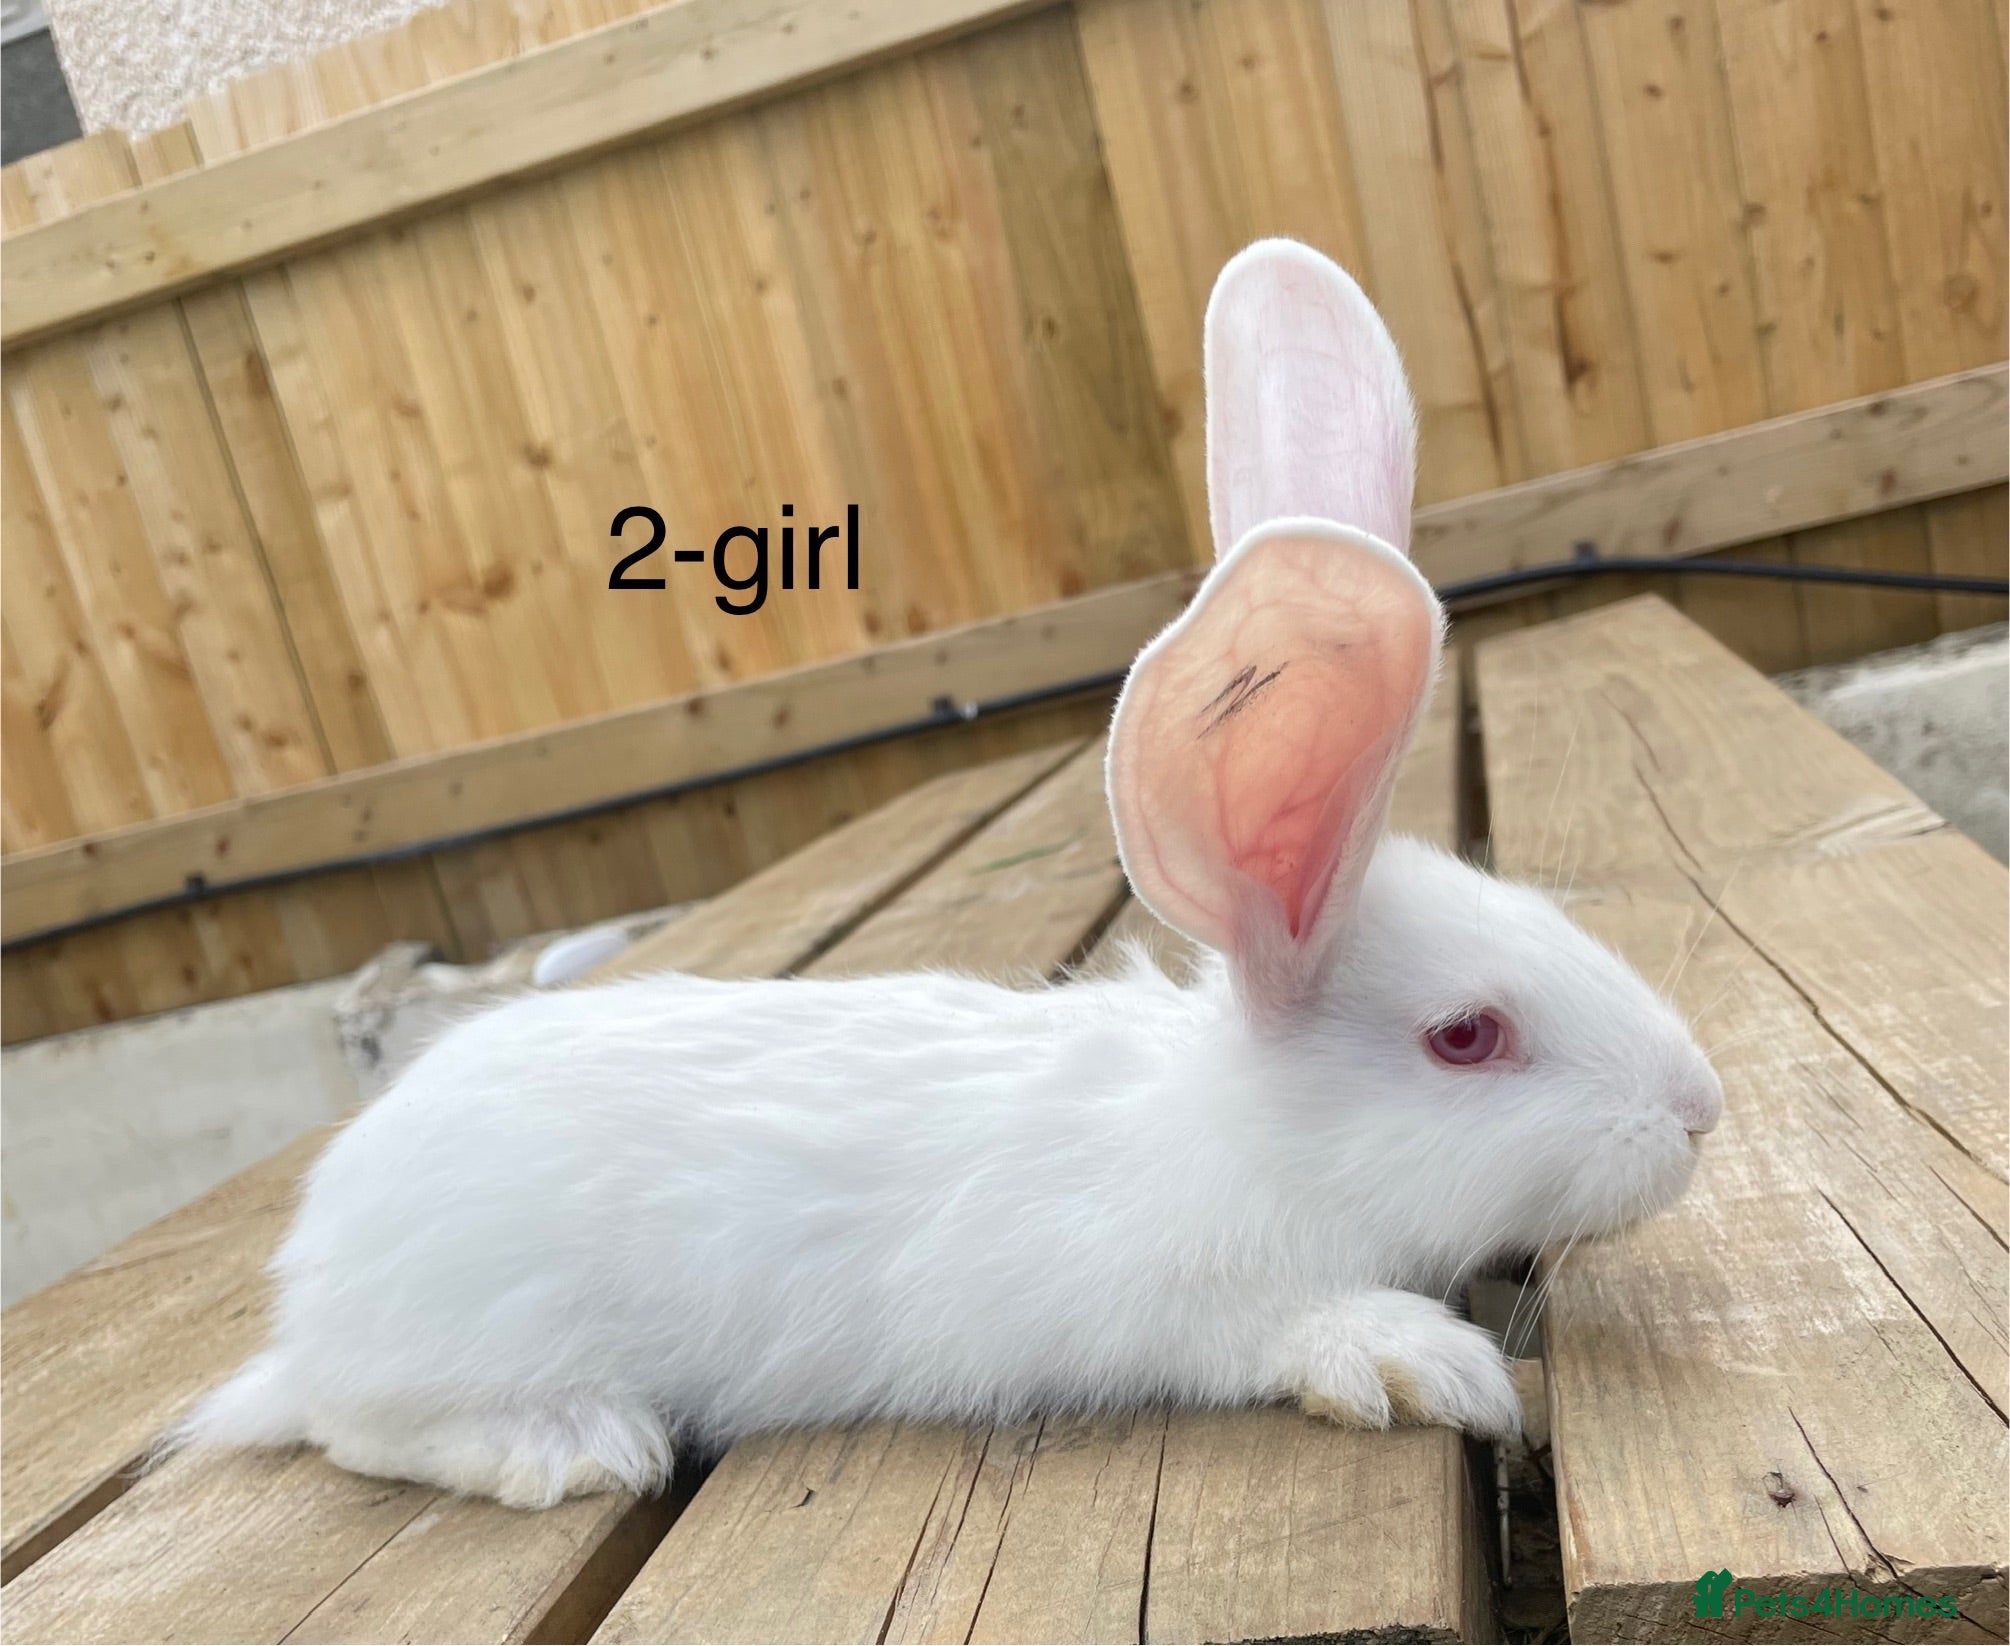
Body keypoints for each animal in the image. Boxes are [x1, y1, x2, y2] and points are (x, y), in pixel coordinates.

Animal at [178, 239, 1722, 1510]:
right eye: (1467, 1036)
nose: (1701, 1111)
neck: (1235, 1128)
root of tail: (307, 1295)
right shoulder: (1187, 1298)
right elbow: (1287, 1328)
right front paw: (1426, 1361)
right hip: (448, 1347)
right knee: (359, 1429)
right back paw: (572, 1443)